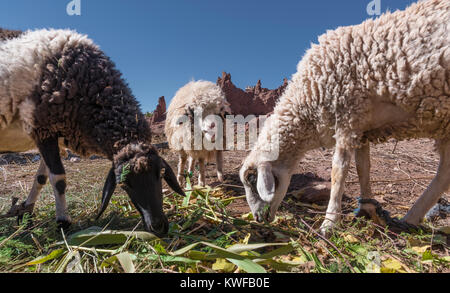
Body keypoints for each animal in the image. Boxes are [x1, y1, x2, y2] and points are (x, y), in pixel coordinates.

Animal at [0, 28, 185, 236]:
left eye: (160, 174)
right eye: (124, 184)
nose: (158, 226)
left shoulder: (54, 134)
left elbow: (41, 177)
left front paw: (26, 212)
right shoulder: (44, 129)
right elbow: (58, 178)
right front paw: (63, 221)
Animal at [239, 0, 450, 234]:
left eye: (251, 179)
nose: (258, 218)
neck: (307, 100)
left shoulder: (347, 117)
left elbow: (338, 171)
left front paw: (329, 222)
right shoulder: (362, 126)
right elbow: (363, 167)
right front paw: (367, 209)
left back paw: (410, 217)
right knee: (444, 173)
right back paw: (410, 218)